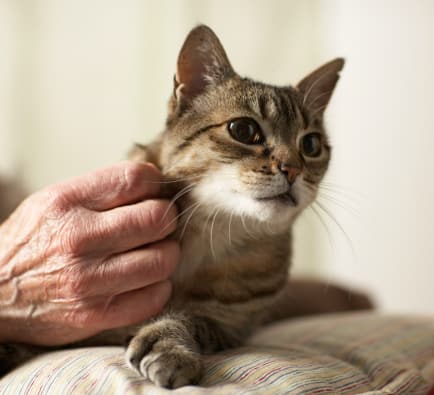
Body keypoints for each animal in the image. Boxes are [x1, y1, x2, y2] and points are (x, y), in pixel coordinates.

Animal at [0, 25, 354, 390]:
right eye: (243, 130)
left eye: (310, 145)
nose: (293, 169)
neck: (211, 234)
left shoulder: (229, 326)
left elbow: (188, 318)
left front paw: (169, 345)